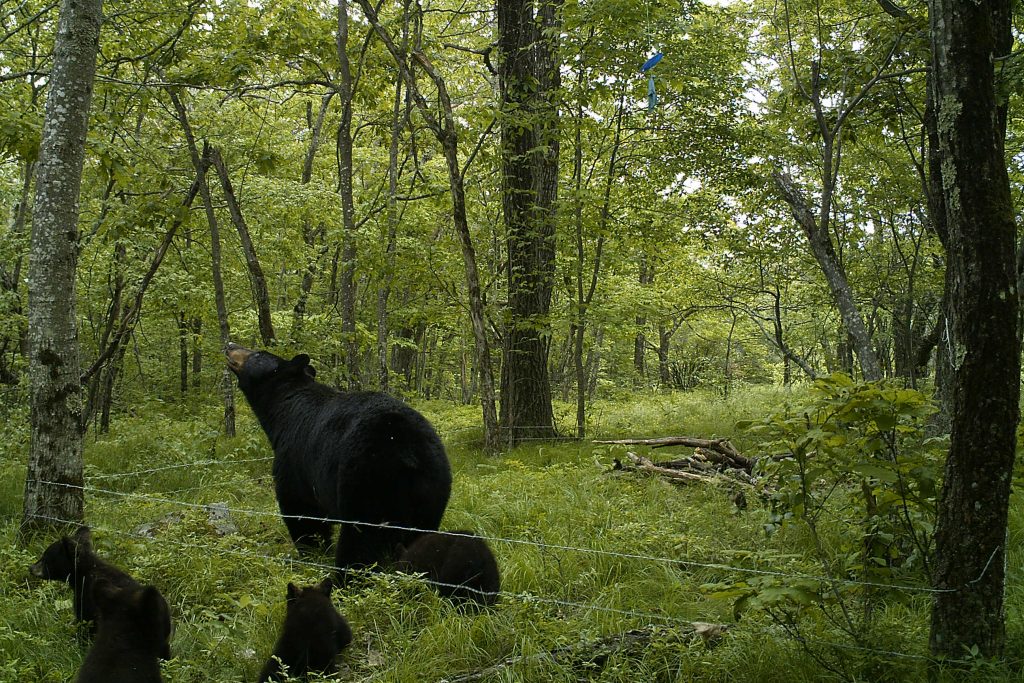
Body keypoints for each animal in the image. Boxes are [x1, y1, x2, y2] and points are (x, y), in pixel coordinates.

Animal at [228, 344, 452, 581]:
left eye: (256, 354)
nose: (231, 345)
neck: (283, 408)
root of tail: (409, 449)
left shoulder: (295, 459)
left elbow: (302, 511)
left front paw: (311, 554)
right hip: (433, 490)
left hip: (368, 482)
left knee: (361, 541)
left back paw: (345, 578)